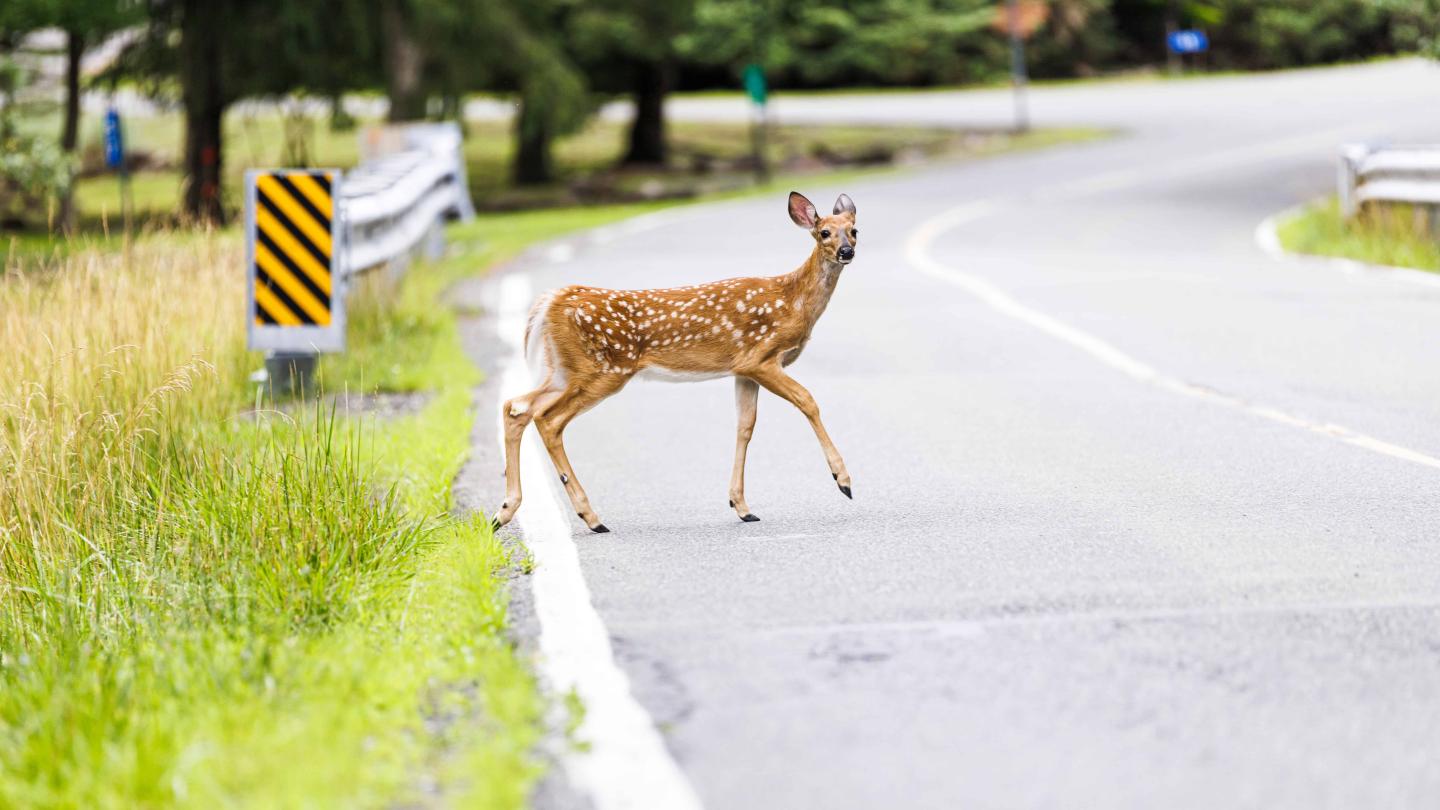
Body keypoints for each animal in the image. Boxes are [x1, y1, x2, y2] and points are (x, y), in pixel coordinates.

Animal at [495, 188, 852, 530]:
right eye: (824, 232)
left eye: (854, 230)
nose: (847, 251)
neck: (792, 301)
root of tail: (552, 301)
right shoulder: (760, 357)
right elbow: (807, 400)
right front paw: (843, 480)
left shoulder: (742, 370)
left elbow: (745, 427)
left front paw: (741, 506)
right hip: (604, 368)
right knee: (548, 419)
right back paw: (591, 517)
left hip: (564, 369)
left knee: (517, 407)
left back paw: (504, 512)